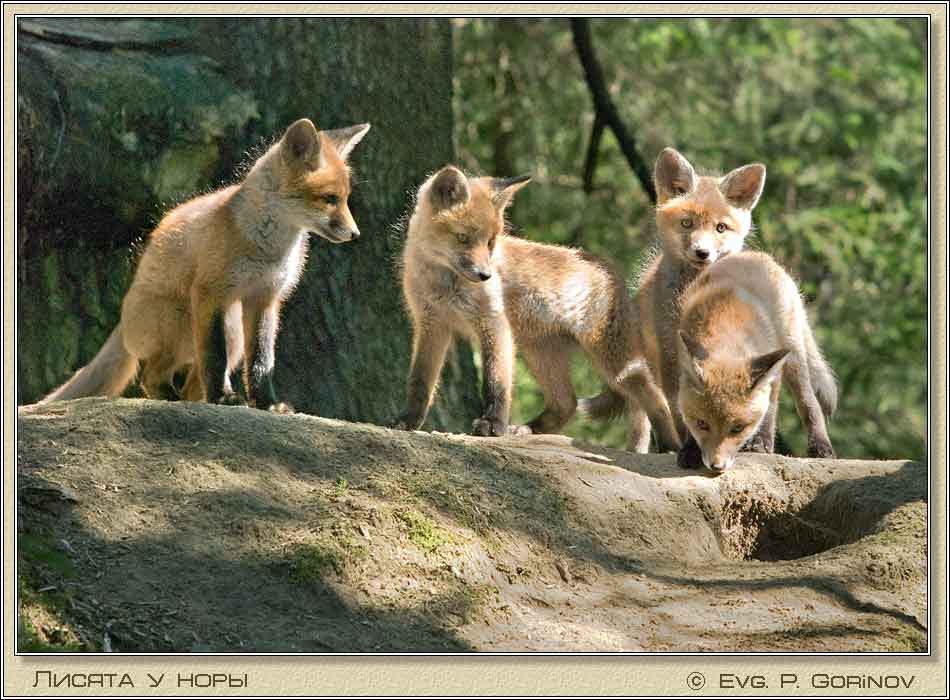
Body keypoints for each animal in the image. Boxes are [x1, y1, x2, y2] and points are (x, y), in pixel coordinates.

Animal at [40, 117, 371, 410]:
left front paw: (266, 403)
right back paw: (174, 399)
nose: (356, 234)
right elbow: (214, 356)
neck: (267, 248)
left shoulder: (265, 298)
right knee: (151, 376)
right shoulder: (210, 293)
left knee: (188, 384)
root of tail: (123, 321)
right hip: (180, 319)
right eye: (329, 199)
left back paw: (196, 400)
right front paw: (224, 398)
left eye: (345, 199)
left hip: (233, 332)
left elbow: (262, 360)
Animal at [392, 165, 680, 452]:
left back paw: (670, 445)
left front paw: (493, 425)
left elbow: (496, 382)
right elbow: (419, 382)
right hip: (539, 354)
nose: (485, 275)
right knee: (566, 403)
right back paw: (529, 429)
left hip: (613, 363)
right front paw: (408, 421)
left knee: (656, 398)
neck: (444, 283)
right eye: (463, 238)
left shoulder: (493, 323)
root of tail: (610, 270)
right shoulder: (431, 325)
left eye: (490, 242)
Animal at [581, 147, 776, 449]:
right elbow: (678, 403)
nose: (702, 253)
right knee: (644, 415)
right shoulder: (670, 343)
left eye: (720, 228)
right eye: (687, 223)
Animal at [675, 250, 837, 472]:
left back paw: (820, 445)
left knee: (808, 403)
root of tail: (758, 255)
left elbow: (770, 410)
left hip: (791, 356)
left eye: (737, 428)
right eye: (702, 424)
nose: (717, 466)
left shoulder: (772, 365)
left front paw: (761, 443)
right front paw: (690, 449)